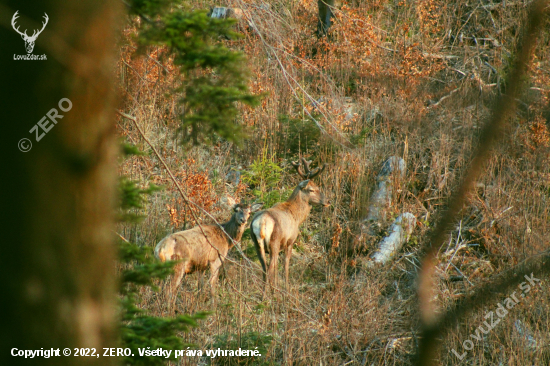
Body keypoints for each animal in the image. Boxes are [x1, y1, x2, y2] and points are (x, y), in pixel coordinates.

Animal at [252, 158, 330, 294]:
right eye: (312, 189)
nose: (327, 201)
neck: (296, 216)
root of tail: (261, 223)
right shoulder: (290, 241)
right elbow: (285, 266)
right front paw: (286, 289)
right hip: (274, 242)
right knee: (269, 269)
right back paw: (269, 295)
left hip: (257, 244)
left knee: (264, 269)